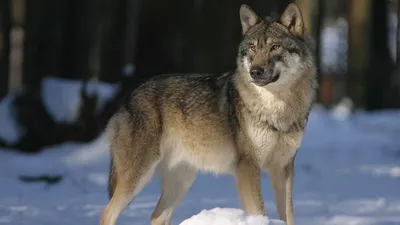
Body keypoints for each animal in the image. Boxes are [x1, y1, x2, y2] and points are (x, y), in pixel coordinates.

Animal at [99, 3, 316, 225]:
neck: (278, 109)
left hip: (181, 181)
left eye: (275, 47)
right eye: (253, 48)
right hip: (138, 176)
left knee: (156, 216)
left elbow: (289, 216)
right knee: (107, 212)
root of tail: (128, 97)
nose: (255, 72)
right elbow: (259, 211)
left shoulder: (284, 168)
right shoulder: (248, 167)